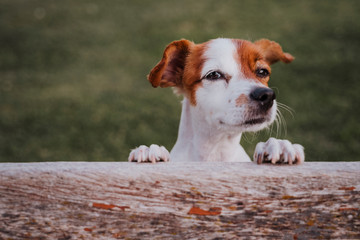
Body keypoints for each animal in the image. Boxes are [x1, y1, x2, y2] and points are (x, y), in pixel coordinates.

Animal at [129, 38, 304, 165]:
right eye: (214, 75)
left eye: (263, 72)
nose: (266, 95)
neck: (215, 149)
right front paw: (150, 150)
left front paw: (277, 145)